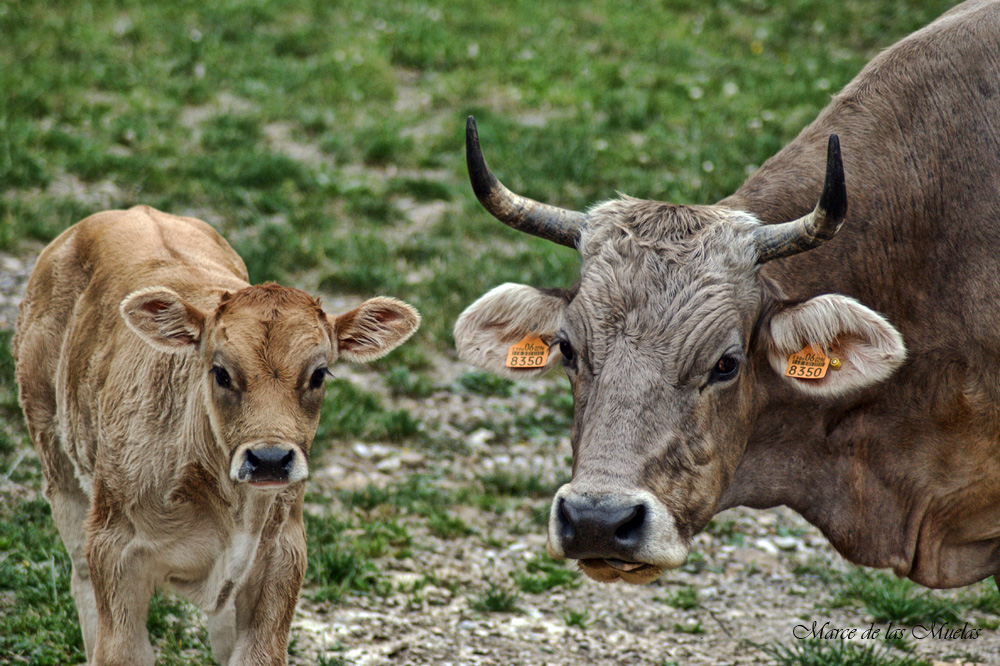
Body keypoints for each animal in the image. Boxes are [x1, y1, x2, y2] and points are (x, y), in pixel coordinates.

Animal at [15, 205, 422, 660]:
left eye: (319, 373)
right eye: (220, 371)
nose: (269, 459)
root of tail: (128, 211)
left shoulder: (281, 561)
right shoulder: (115, 553)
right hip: (56, 460)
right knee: (80, 576)